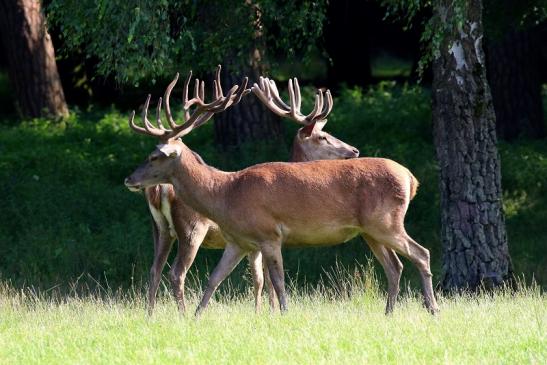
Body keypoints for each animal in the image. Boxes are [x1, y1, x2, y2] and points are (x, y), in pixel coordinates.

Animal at [125, 72, 440, 316]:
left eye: (154, 156)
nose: (129, 179)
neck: (225, 193)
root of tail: (411, 179)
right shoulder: (238, 241)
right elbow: (214, 279)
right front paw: (195, 318)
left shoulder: (269, 234)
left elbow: (277, 283)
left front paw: (283, 316)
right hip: (370, 230)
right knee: (395, 265)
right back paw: (389, 312)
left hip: (385, 221)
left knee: (421, 253)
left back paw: (432, 308)